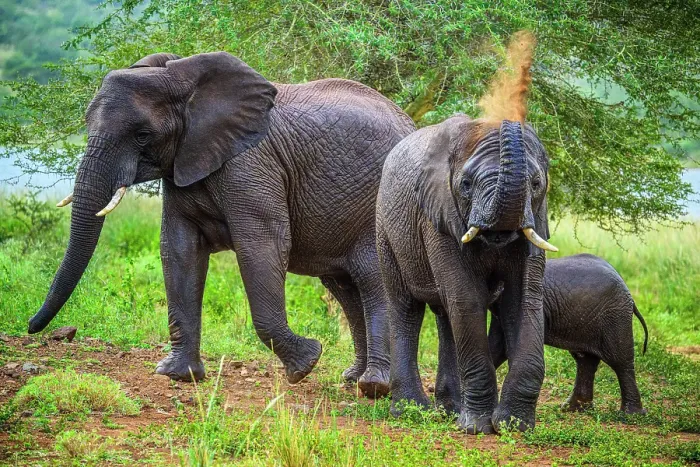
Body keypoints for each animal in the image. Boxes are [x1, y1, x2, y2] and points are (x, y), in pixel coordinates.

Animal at [27, 51, 416, 395]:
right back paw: (352, 379)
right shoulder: (184, 163)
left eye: (142, 135)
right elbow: (178, 248)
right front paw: (178, 375)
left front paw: (306, 363)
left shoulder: (252, 164)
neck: (182, 77)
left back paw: (374, 387)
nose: (32, 327)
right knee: (344, 288)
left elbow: (262, 244)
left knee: (371, 280)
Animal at [376, 113, 555, 434]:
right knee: (406, 308)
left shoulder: (538, 217)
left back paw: (450, 411)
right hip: (386, 229)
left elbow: (524, 300)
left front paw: (514, 426)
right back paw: (410, 410)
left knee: (445, 314)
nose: (510, 116)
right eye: (466, 184)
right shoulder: (438, 217)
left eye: (536, 184)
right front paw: (477, 428)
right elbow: (467, 299)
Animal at [488, 253, 649, 415]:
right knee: (585, 360)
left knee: (620, 361)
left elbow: (505, 347)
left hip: (615, 317)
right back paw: (574, 408)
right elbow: (497, 345)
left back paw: (630, 415)